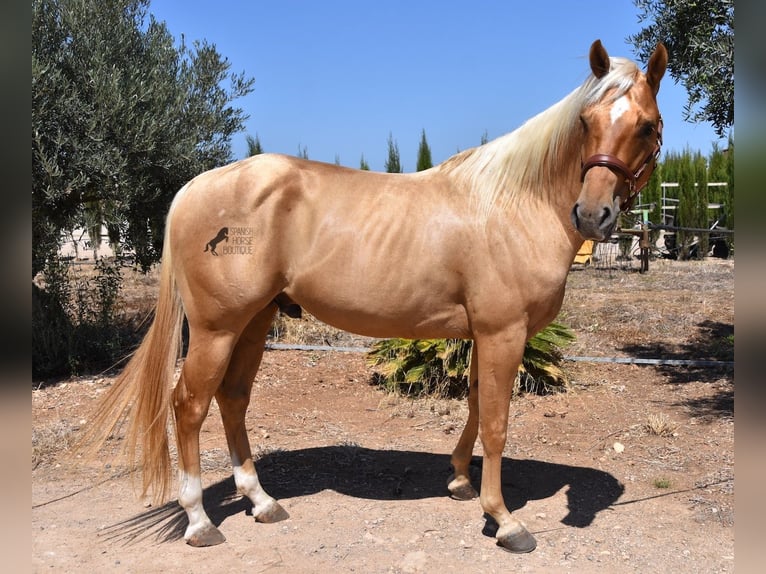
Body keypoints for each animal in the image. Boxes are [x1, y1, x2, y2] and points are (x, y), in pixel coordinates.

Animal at [87, 40, 668, 552]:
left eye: (646, 125)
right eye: (586, 121)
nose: (592, 215)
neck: (513, 203)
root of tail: (194, 188)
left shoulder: (483, 334)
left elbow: (475, 404)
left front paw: (460, 481)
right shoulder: (504, 332)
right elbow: (497, 423)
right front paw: (504, 520)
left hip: (253, 323)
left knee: (232, 400)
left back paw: (262, 501)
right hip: (216, 329)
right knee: (189, 406)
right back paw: (200, 522)